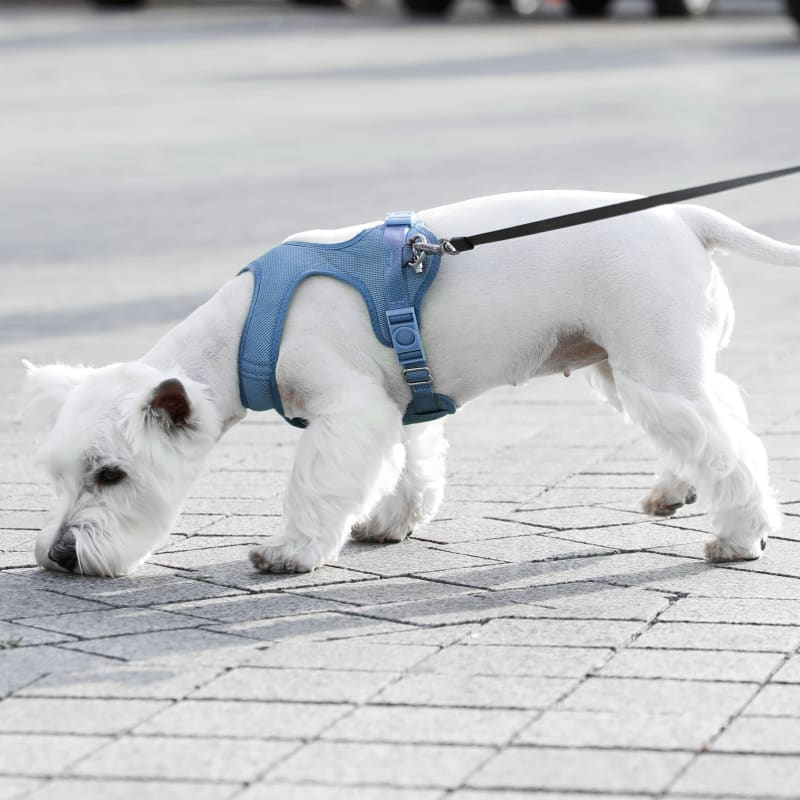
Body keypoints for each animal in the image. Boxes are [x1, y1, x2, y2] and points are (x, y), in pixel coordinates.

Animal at [20, 193, 800, 576]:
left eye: (112, 475)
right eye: (56, 478)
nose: (57, 557)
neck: (241, 332)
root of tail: (685, 215)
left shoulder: (348, 410)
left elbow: (314, 484)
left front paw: (290, 552)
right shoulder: (400, 402)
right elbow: (413, 463)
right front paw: (393, 520)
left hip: (651, 367)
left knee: (729, 446)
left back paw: (739, 534)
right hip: (629, 366)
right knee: (721, 412)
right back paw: (678, 489)